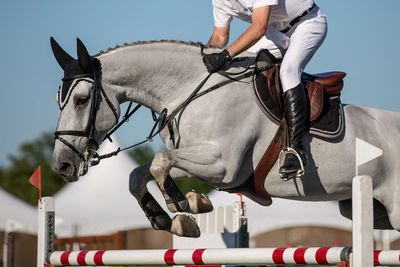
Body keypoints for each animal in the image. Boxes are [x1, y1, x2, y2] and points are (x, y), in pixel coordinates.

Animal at [51, 38, 400, 239]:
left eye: (82, 99)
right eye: (59, 100)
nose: (61, 166)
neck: (188, 90)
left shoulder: (224, 166)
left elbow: (160, 163)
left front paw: (183, 204)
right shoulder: (197, 158)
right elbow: (140, 174)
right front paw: (170, 217)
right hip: (371, 211)